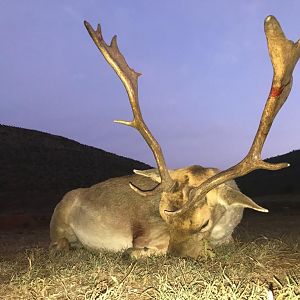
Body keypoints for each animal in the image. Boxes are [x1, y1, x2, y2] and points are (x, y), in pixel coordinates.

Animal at [49, 16, 300, 258]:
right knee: (58, 244)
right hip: (59, 221)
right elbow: (137, 249)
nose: (178, 256)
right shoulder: (147, 232)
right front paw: (139, 251)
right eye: (164, 216)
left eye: (204, 223)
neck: (224, 229)